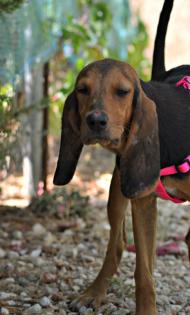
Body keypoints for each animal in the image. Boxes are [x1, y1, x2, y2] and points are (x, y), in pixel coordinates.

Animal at [53, 1, 190, 314]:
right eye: (82, 90)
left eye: (123, 92)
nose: (95, 121)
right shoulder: (141, 200)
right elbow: (143, 272)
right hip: (119, 187)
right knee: (117, 244)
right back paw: (93, 292)